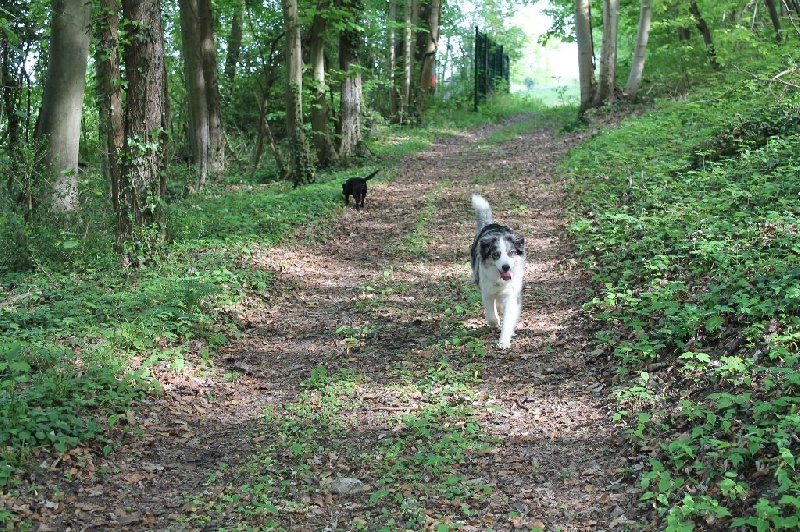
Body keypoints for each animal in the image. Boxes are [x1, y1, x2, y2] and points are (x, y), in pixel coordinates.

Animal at [468, 195, 524, 350]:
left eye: (511, 252)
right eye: (496, 254)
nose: (506, 267)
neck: (500, 281)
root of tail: (491, 225)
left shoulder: (511, 294)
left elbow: (508, 318)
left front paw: (504, 341)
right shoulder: (486, 291)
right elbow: (491, 316)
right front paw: (496, 322)